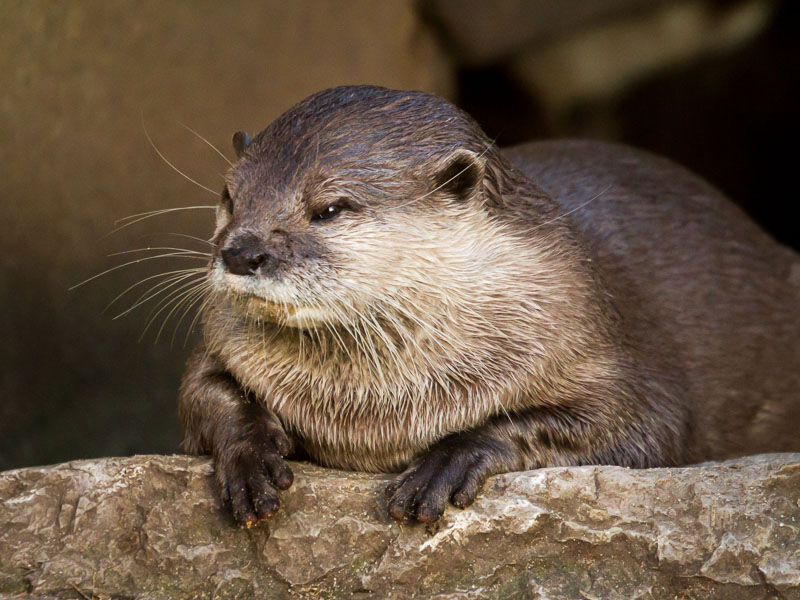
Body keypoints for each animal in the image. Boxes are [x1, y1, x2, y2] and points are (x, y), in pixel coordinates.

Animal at [178, 85, 800, 527]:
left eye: (329, 208)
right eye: (230, 196)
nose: (241, 252)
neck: (372, 410)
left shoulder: (600, 341)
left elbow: (646, 426)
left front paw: (452, 458)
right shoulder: (219, 343)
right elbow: (204, 391)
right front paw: (249, 456)